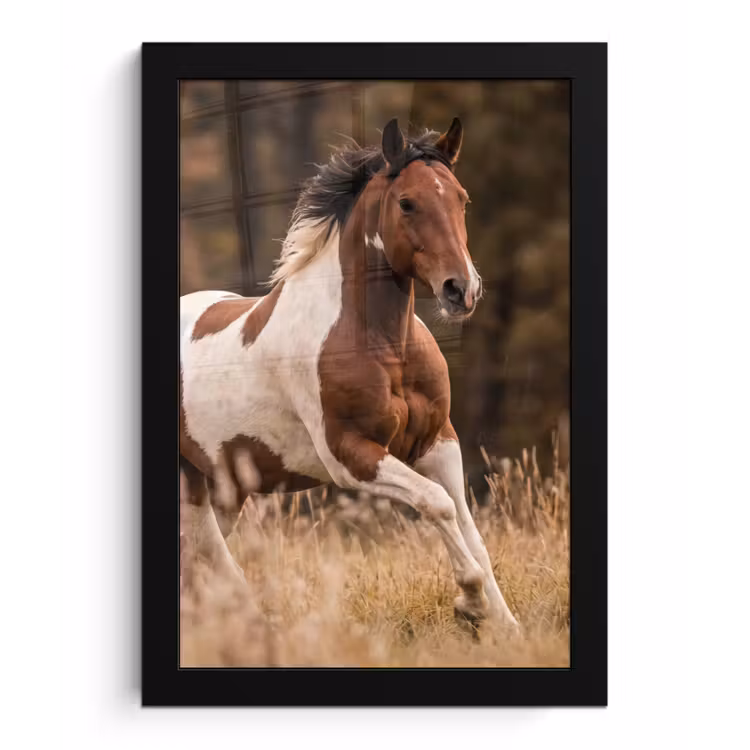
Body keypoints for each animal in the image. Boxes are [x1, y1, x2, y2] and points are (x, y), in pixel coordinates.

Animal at [179, 117, 520, 634]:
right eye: (407, 202)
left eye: (461, 198)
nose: (461, 289)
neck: (380, 344)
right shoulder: (350, 455)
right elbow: (436, 502)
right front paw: (470, 602)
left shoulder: (438, 441)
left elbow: (467, 526)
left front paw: (506, 626)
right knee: (209, 560)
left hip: (216, 487)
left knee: (203, 558)